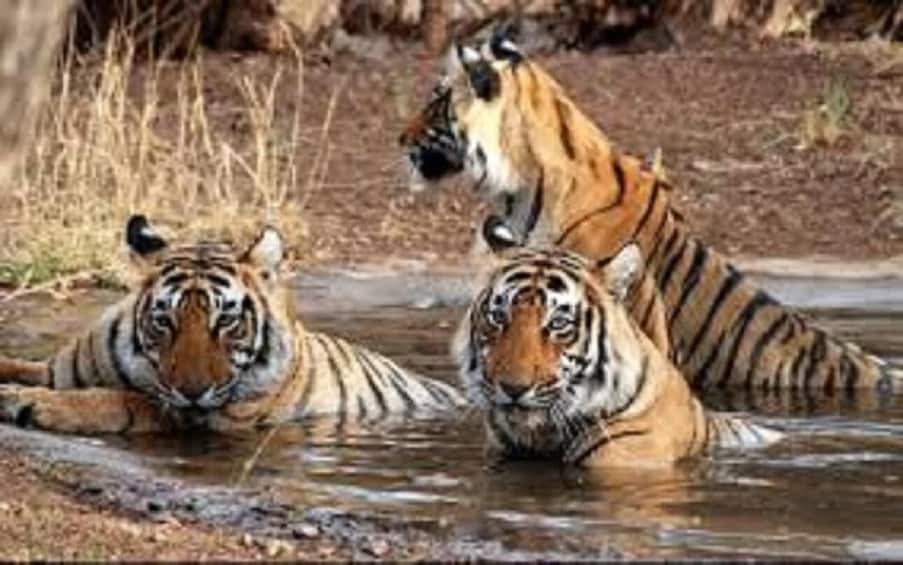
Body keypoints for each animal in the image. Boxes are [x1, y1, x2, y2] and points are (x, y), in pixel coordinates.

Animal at [0, 215, 465, 434]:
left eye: (226, 321)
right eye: (164, 321)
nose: (193, 391)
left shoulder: (201, 416)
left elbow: (122, 400)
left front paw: (30, 402)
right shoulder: (55, 369)